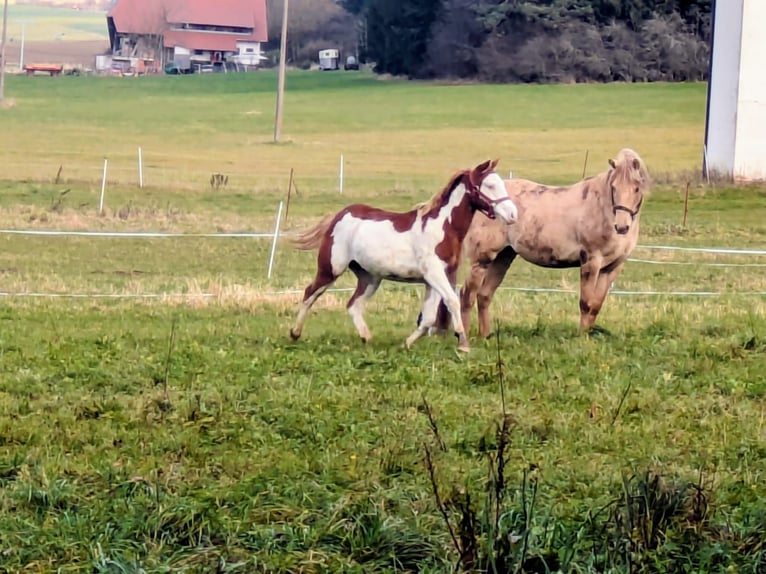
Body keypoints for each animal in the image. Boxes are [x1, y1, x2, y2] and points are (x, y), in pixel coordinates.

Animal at [288, 159, 519, 352]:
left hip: (370, 277)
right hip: (331, 269)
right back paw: (295, 333)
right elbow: (452, 301)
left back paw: (367, 338)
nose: (513, 214)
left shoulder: (435, 279)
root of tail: (339, 215)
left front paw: (406, 344)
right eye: (490, 185)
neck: (442, 228)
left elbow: (428, 317)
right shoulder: (435, 274)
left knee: (354, 305)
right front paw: (463, 344)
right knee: (310, 293)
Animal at [436, 148, 649, 337]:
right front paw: (582, 338)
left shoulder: (611, 267)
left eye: (636, 188)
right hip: (482, 259)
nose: (622, 226)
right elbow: (586, 303)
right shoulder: (591, 262)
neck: (602, 208)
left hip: (503, 257)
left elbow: (596, 306)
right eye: (614, 188)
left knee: (484, 295)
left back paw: (486, 336)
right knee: (467, 295)